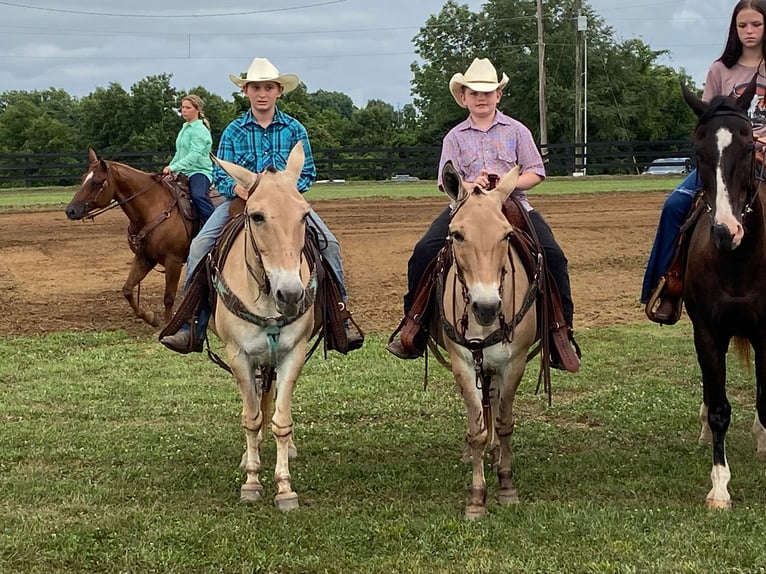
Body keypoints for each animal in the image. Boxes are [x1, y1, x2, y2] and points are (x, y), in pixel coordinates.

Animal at [64, 150, 194, 328]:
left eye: (96, 182)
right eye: (83, 178)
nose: (70, 211)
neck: (154, 209)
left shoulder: (173, 260)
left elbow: (168, 298)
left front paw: (168, 326)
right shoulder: (145, 258)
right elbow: (127, 289)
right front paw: (150, 318)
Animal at [207, 144, 318, 512]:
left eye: (303, 214)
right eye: (256, 216)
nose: (291, 294)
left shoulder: (294, 353)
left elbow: (281, 421)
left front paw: (284, 487)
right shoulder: (238, 355)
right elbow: (251, 418)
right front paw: (252, 481)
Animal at [436, 163, 536, 520]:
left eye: (506, 234)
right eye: (457, 234)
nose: (487, 306)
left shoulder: (513, 363)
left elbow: (504, 423)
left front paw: (506, 484)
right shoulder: (464, 364)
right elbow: (478, 429)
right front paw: (477, 497)